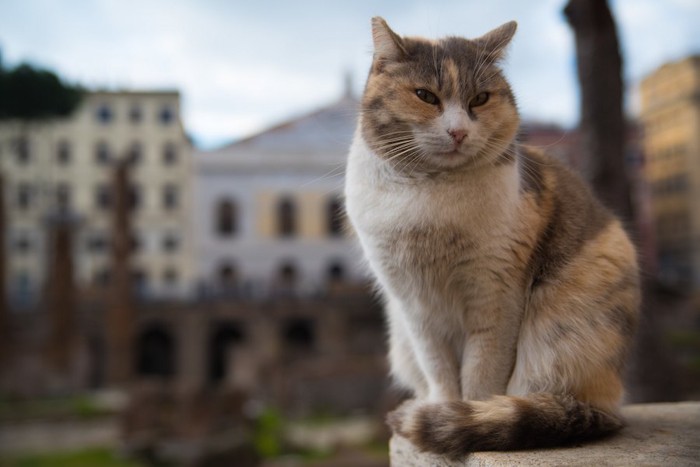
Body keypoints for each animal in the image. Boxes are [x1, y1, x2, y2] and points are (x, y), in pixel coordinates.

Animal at [344, 16, 640, 458]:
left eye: (480, 99)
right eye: (425, 96)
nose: (458, 132)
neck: (431, 192)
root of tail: (614, 402)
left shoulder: (496, 296)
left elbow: (482, 373)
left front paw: (467, 420)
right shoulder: (413, 306)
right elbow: (439, 369)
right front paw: (443, 411)